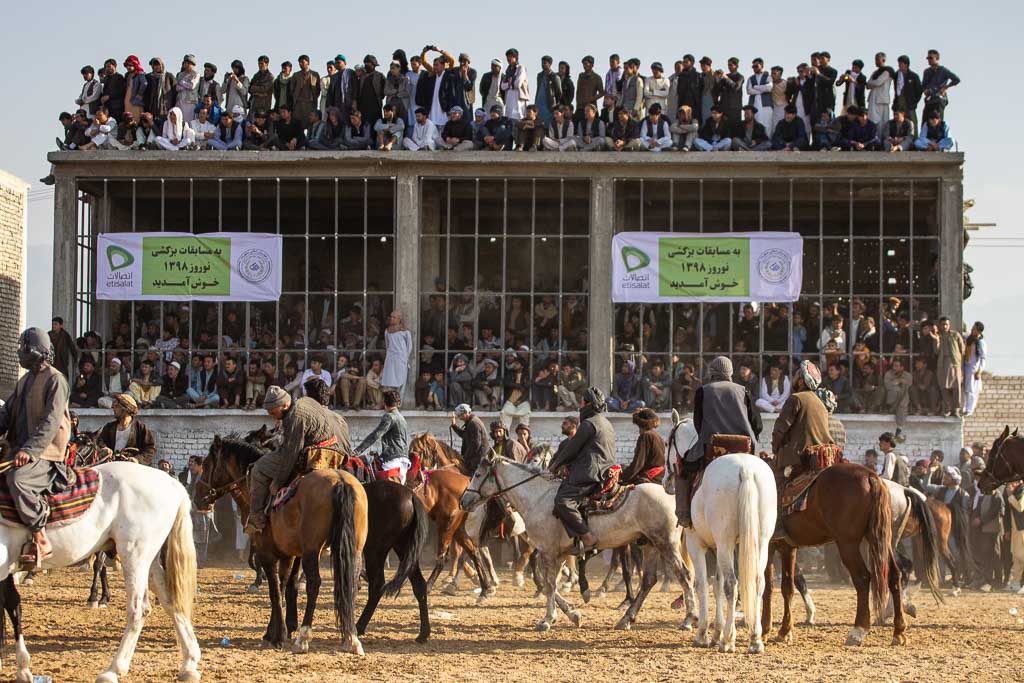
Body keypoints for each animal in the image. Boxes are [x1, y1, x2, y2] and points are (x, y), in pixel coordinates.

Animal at [0, 462, 198, 679]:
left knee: (138, 611)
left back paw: (114, 670)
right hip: (149, 562)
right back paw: (189, 663)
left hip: (134, 556)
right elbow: (12, 604)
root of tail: (172, 483)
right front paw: (22, 668)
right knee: (171, 602)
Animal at [462, 454, 696, 630]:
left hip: (666, 544)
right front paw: (573, 614)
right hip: (649, 545)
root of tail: (672, 497)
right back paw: (626, 619)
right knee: (648, 580)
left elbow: (549, 585)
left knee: (684, 575)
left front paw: (547, 620)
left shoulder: (548, 551)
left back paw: (689, 618)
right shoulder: (558, 554)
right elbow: (550, 586)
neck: (538, 498)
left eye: (478, 474)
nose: (464, 500)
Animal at [684, 454, 770, 651]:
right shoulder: (718, 549)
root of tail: (745, 469)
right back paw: (755, 639)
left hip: (725, 542)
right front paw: (716, 632)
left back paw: (728, 640)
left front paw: (703, 635)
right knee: (758, 583)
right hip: (761, 542)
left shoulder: (696, 543)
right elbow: (717, 585)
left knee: (731, 584)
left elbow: (702, 584)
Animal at [761, 462, 905, 651]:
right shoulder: (788, 548)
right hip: (880, 539)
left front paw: (764, 630)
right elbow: (787, 587)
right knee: (894, 575)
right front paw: (784, 631)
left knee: (862, 578)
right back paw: (898, 631)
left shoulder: (768, 546)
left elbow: (767, 587)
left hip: (847, 543)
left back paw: (858, 631)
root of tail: (870, 476)